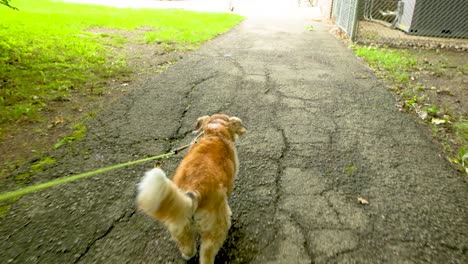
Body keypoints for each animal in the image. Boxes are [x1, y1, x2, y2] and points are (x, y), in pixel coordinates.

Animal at [137, 114, 247, 264]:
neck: (214, 132)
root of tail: (194, 192)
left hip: (179, 224)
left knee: (188, 248)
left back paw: (187, 255)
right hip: (215, 228)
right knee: (207, 254)